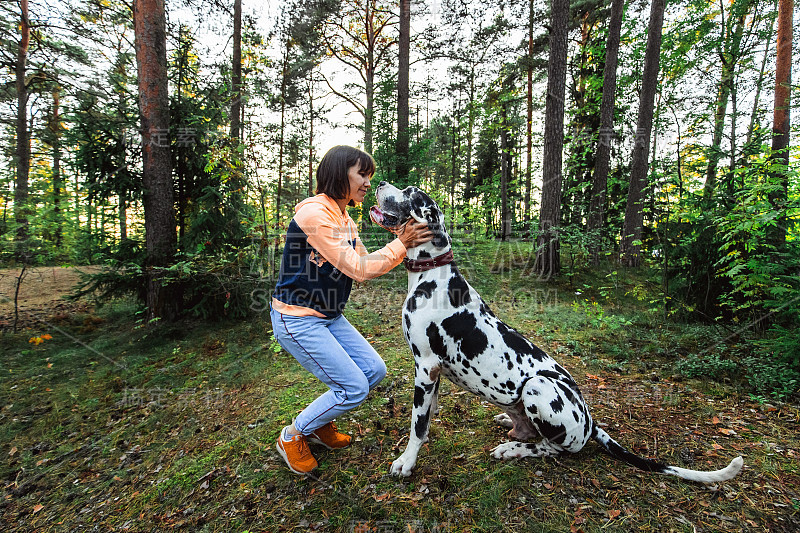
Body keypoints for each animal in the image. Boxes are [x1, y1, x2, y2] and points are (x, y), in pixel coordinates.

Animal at [368, 182, 744, 482]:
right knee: (531, 433)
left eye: (409, 193)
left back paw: (513, 449)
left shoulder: (426, 367)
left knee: (553, 448)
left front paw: (407, 461)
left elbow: (417, 424)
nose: (382, 182)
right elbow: (426, 417)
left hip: (538, 387)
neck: (432, 274)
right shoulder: (433, 373)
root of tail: (591, 420)